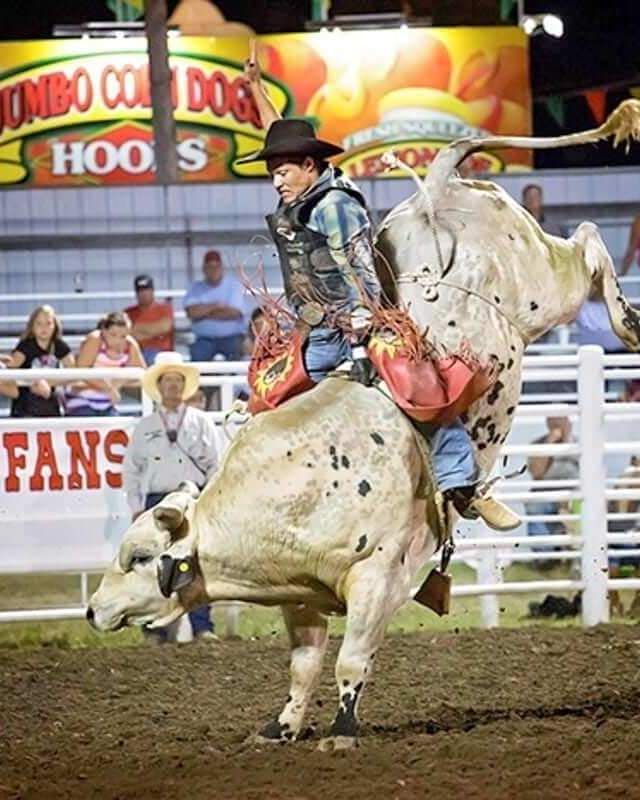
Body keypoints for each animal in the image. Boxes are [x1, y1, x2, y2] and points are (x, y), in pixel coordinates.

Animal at [89, 101, 640, 752]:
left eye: (139, 556)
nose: (92, 611)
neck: (295, 487)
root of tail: (436, 189)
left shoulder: (376, 579)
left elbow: (351, 661)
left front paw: (342, 730)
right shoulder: (299, 596)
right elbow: (303, 664)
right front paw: (281, 727)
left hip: (544, 287)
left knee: (589, 244)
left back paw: (628, 323)